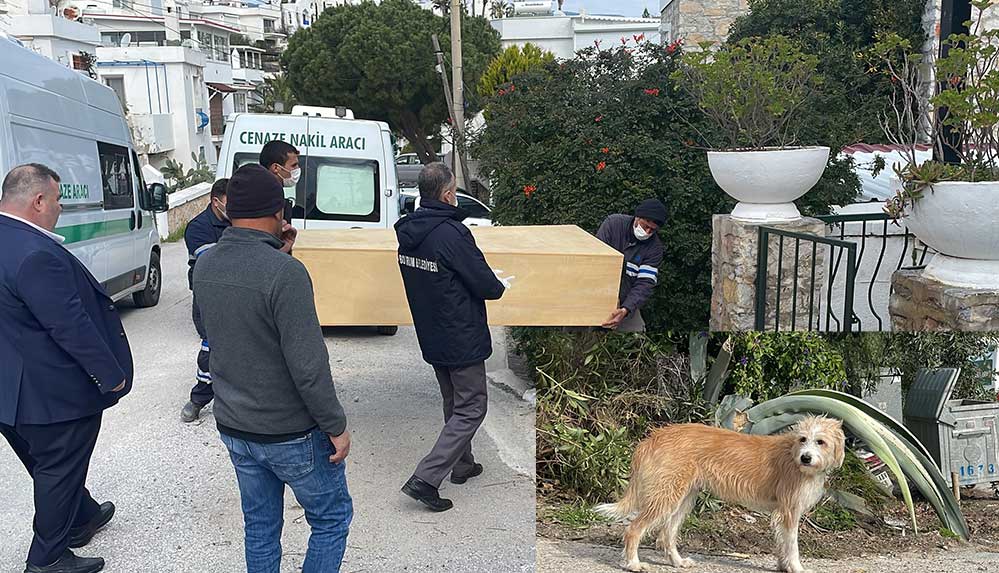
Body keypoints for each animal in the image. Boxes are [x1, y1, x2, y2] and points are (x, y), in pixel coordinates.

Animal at [596, 416, 848, 572]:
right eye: (803, 439)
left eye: (820, 442)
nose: (806, 457)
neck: (793, 454)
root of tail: (653, 437)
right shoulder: (789, 511)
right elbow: (792, 544)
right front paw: (796, 567)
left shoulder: (782, 513)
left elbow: (782, 542)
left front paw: (783, 566)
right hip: (665, 497)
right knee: (634, 529)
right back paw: (633, 564)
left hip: (683, 499)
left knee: (667, 535)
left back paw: (678, 562)